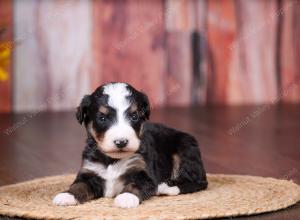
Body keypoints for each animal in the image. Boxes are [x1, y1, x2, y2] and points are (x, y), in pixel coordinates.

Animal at [52, 82, 207, 208]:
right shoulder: (90, 170)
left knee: (196, 181)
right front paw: (66, 195)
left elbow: (135, 184)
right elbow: (79, 185)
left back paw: (165, 187)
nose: (121, 142)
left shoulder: (144, 172)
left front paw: (126, 197)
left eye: (134, 116)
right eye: (102, 118)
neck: (111, 159)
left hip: (186, 148)